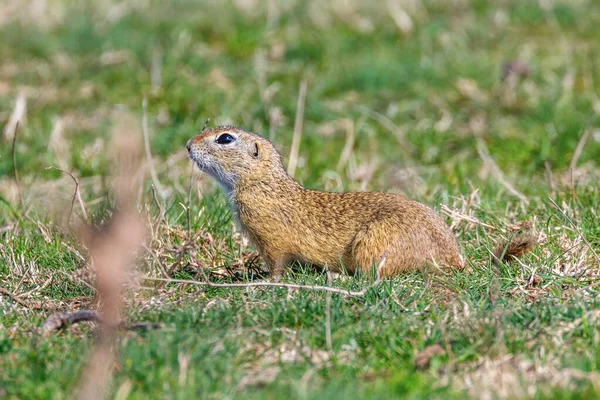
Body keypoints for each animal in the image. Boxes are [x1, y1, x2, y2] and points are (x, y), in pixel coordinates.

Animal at [186, 126, 464, 278]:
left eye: (225, 139)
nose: (188, 145)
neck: (263, 184)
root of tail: (454, 259)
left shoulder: (272, 240)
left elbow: (276, 264)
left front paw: (264, 281)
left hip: (372, 245)